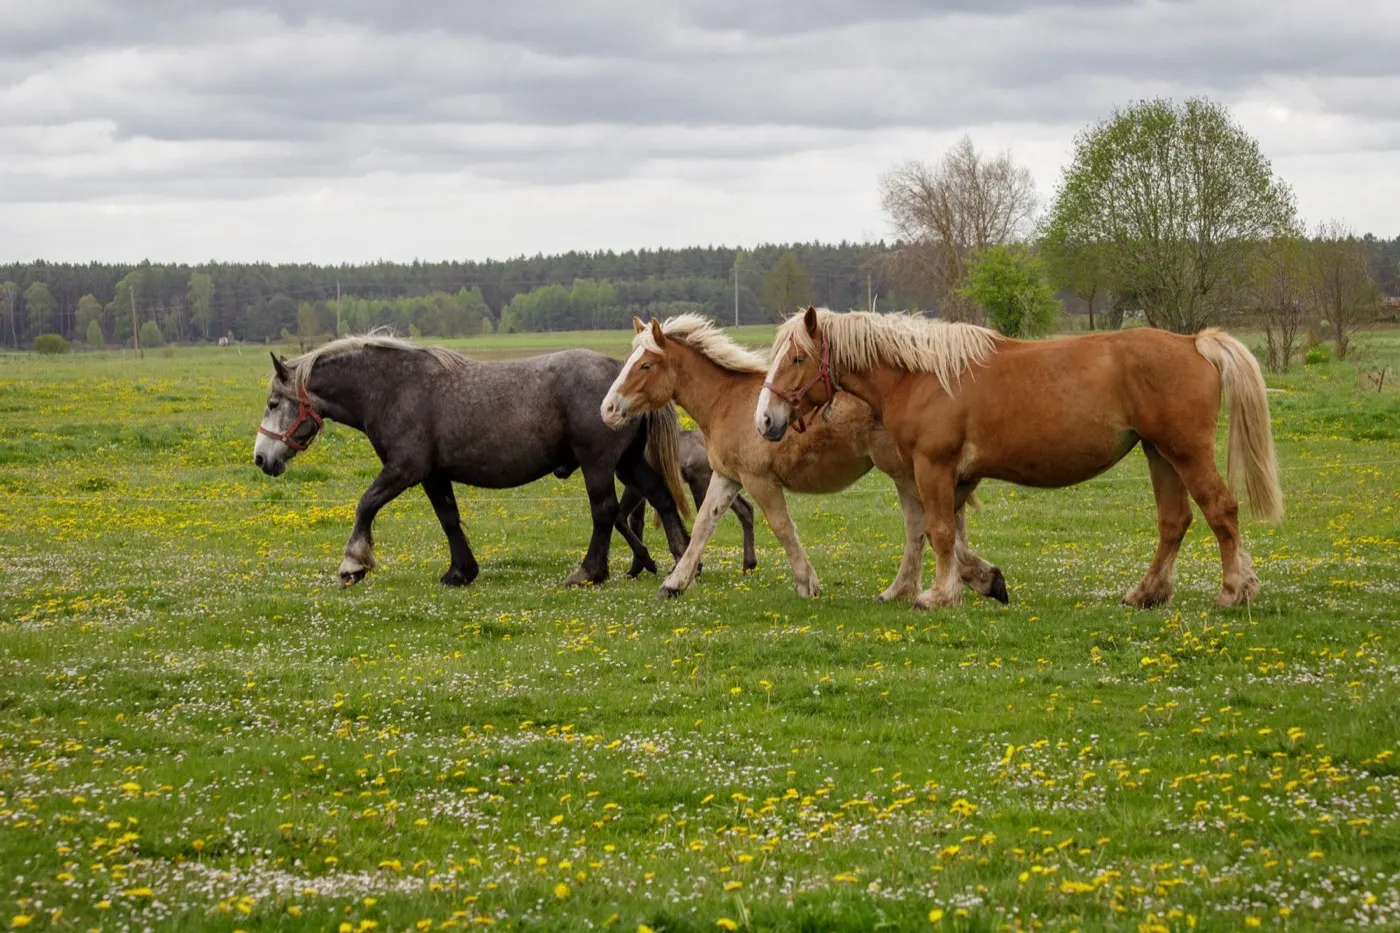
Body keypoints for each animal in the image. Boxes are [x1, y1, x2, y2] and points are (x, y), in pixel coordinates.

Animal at [251, 332, 693, 588]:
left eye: (273, 403)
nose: (260, 458)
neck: (393, 388)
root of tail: (622, 375)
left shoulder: (404, 469)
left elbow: (365, 505)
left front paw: (352, 564)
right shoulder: (433, 475)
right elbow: (448, 518)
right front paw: (461, 571)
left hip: (598, 463)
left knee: (604, 512)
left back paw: (589, 572)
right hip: (627, 461)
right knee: (661, 497)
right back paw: (682, 558)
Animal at [618, 428, 759, 573]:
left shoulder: (638, 487)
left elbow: (621, 518)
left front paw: (646, 564)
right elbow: (636, 522)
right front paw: (636, 569)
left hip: (700, 482)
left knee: (704, 525)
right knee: (745, 508)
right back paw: (749, 564)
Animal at [756, 307, 1283, 610]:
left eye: (797, 358)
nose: (766, 420)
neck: (922, 376)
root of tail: (1193, 342)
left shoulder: (933, 466)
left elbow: (939, 532)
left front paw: (938, 595)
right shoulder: (958, 477)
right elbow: (951, 536)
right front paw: (981, 582)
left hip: (1186, 453)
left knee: (1221, 511)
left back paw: (1233, 590)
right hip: (1160, 455)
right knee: (1174, 522)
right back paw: (1146, 593)